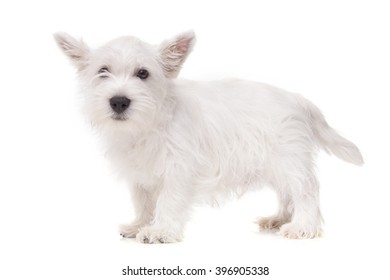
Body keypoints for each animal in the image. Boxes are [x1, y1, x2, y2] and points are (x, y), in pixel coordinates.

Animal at [54, 30, 362, 243]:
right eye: (102, 71)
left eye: (142, 73)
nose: (119, 101)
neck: (150, 123)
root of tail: (297, 98)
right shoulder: (140, 175)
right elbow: (144, 202)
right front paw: (140, 224)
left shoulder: (178, 169)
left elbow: (168, 200)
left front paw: (160, 230)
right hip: (278, 165)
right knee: (288, 193)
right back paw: (279, 219)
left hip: (289, 161)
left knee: (306, 191)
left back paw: (302, 226)